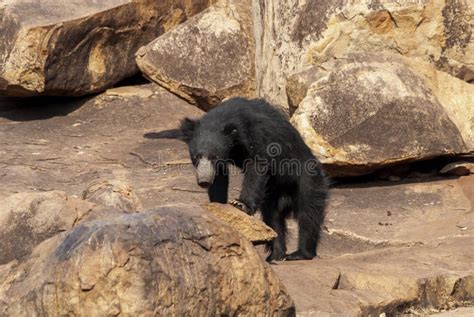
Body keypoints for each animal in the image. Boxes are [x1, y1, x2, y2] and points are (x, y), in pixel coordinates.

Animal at [146, 97, 328, 260]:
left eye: (213, 156)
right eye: (196, 157)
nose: (203, 181)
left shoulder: (259, 135)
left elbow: (257, 166)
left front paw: (240, 204)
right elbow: (220, 177)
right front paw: (218, 203)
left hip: (307, 177)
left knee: (309, 212)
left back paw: (300, 254)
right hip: (272, 194)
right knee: (272, 217)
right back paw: (276, 255)